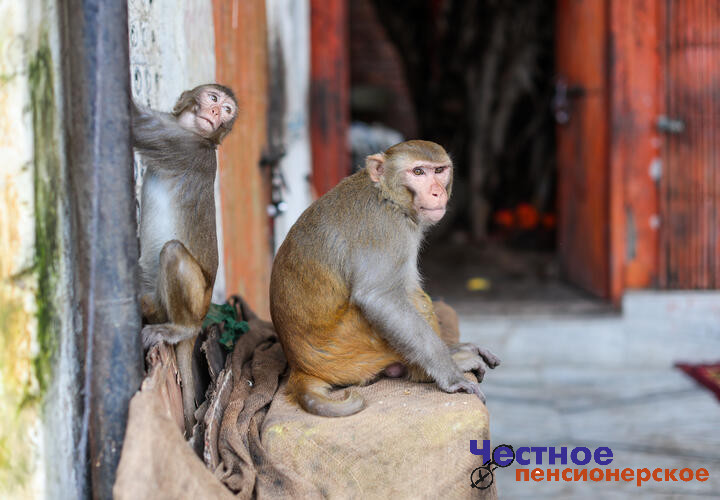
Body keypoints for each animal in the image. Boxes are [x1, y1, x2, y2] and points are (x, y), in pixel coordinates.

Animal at [131, 84, 237, 431]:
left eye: (227, 110)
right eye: (214, 99)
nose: (216, 112)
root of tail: (200, 318)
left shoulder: (181, 145)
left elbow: (133, 122)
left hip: (195, 303)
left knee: (173, 252)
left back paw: (180, 330)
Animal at [270, 140, 500, 417]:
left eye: (439, 170)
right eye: (418, 172)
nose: (437, 192)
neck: (388, 196)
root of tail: (299, 367)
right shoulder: (387, 229)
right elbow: (379, 298)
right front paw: (452, 377)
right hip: (350, 348)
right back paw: (429, 369)